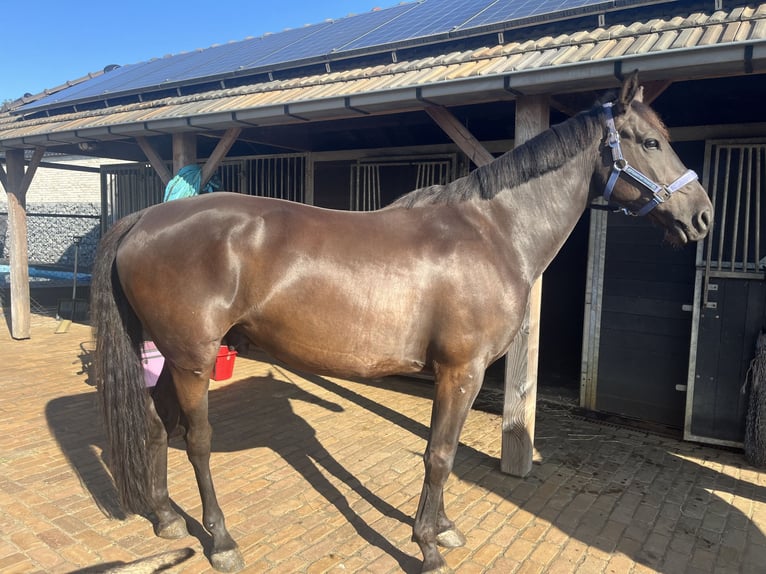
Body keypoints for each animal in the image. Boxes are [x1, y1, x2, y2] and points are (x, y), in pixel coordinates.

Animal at [91, 74, 712, 572]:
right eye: (651, 142)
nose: (702, 216)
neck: (494, 232)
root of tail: (144, 218)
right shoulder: (461, 371)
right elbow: (438, 455)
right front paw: (427, 545)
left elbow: (445, 452)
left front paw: (442, 529)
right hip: (193, 360)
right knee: (194, 441)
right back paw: (220, 540)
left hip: (170, 357)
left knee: (154, 426)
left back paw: (167, 518)